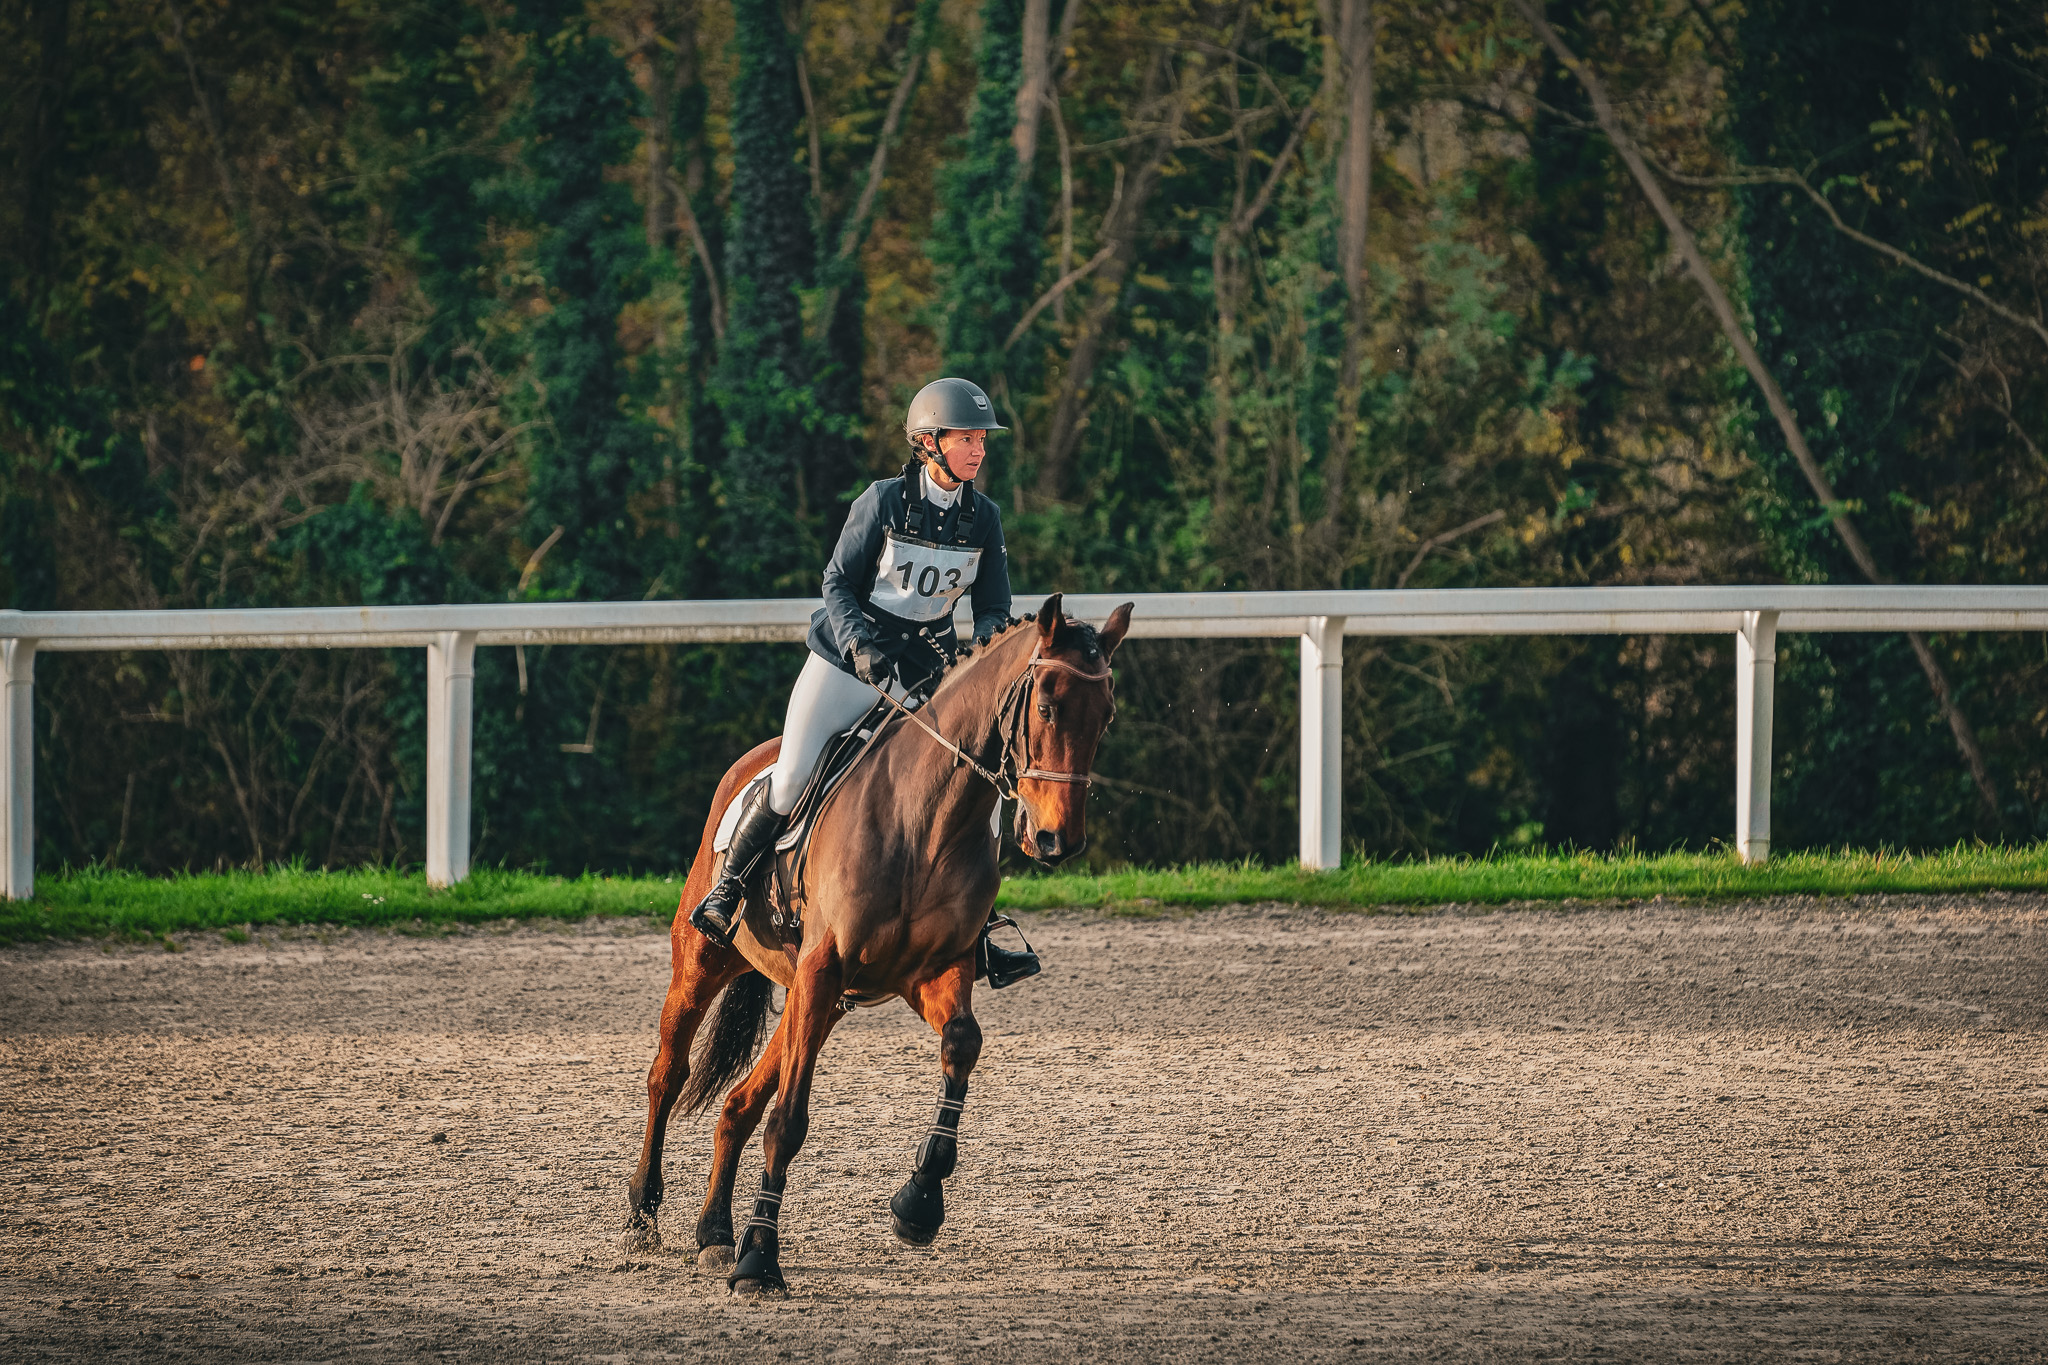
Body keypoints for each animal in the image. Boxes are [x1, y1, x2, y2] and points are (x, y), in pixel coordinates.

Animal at [622, 593, 1138, 1301]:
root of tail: (755, 761)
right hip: (707, 961)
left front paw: (918, 1203)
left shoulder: (931, 972)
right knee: (668, 1075)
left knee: (738, 1103)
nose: (1059, 840)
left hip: (822, 1000)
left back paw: (714, 1233)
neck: (926, 818)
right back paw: (643, 1216)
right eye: (1048, 706)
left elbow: (962, 1044)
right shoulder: (824, 969)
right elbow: (789, 1121)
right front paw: (761, 1260)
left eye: (1106, 714)